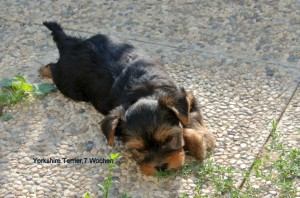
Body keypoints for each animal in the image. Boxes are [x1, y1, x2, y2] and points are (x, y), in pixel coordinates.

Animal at [40, 21, 216, 176]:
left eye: (169, 138)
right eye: (138, 149)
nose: (161, 167)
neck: (144, 91)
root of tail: (70, 44)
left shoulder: (185, 96)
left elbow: (190, 118)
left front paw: (200, 141)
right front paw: (197, 143)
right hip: (69, 85)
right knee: (53, 68)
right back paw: (43, 69)